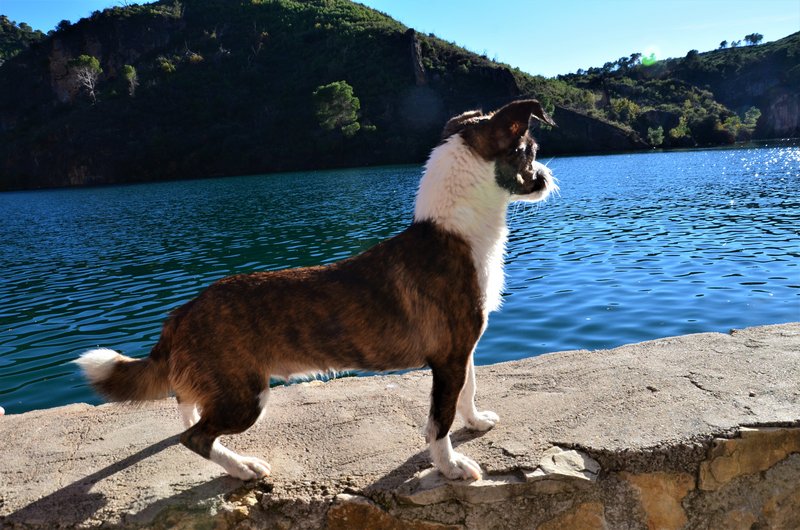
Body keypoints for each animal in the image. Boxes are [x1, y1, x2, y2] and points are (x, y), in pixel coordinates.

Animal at [78, 98, 560, 478]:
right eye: (531, 151)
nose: (549, 177)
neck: (454, 231)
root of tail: (182, 314)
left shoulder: (462, 350)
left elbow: (468, 391)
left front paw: (475, 423)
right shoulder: (448, 356)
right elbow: (439, 420)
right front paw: (451, 466)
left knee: (186, 406)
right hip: (245, 397)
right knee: (195, 438)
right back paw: (242, 468)